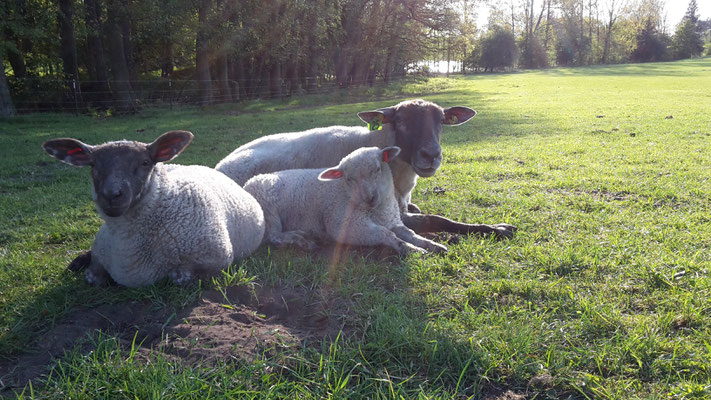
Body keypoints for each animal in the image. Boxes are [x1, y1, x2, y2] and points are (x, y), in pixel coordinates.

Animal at [44, 130, 268, 286]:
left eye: (145, 162)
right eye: (93, 165)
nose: (111, 196)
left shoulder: (217, 260)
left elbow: (179, 277)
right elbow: (92, 277)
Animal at [217, 99, 516, 239]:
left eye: (442, 120)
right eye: (401, 121)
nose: (431, 155)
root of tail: (221, 164)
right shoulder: (392, 212)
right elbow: (439, 220)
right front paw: (495, 229)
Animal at [242, 145, 448, 255]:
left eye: (377, 169)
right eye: (349, 179)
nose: (370, 198)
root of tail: (246, 184)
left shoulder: (393, 220)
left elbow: (410, 233)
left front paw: (433, 245)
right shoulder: (347, 225)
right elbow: (387, 235)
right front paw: (412, 250)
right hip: (268, 212)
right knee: (274, 237)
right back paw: (302, 240)